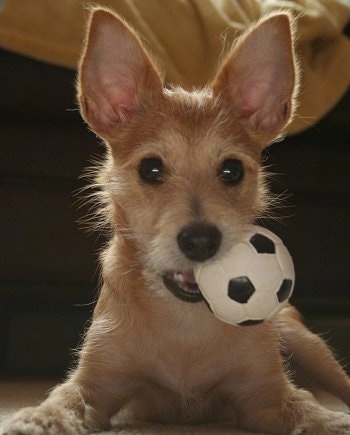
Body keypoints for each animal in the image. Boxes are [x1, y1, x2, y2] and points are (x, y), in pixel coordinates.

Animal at [2, 6, 350, 435]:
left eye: (232, 171)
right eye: (151, 169)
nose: (200, 241)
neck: (185, 324)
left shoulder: (263, 393)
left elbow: (302, 402)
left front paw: (329, 420)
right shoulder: (99, 383)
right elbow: (64, 396)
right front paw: (39, 416)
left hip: (303, 340)